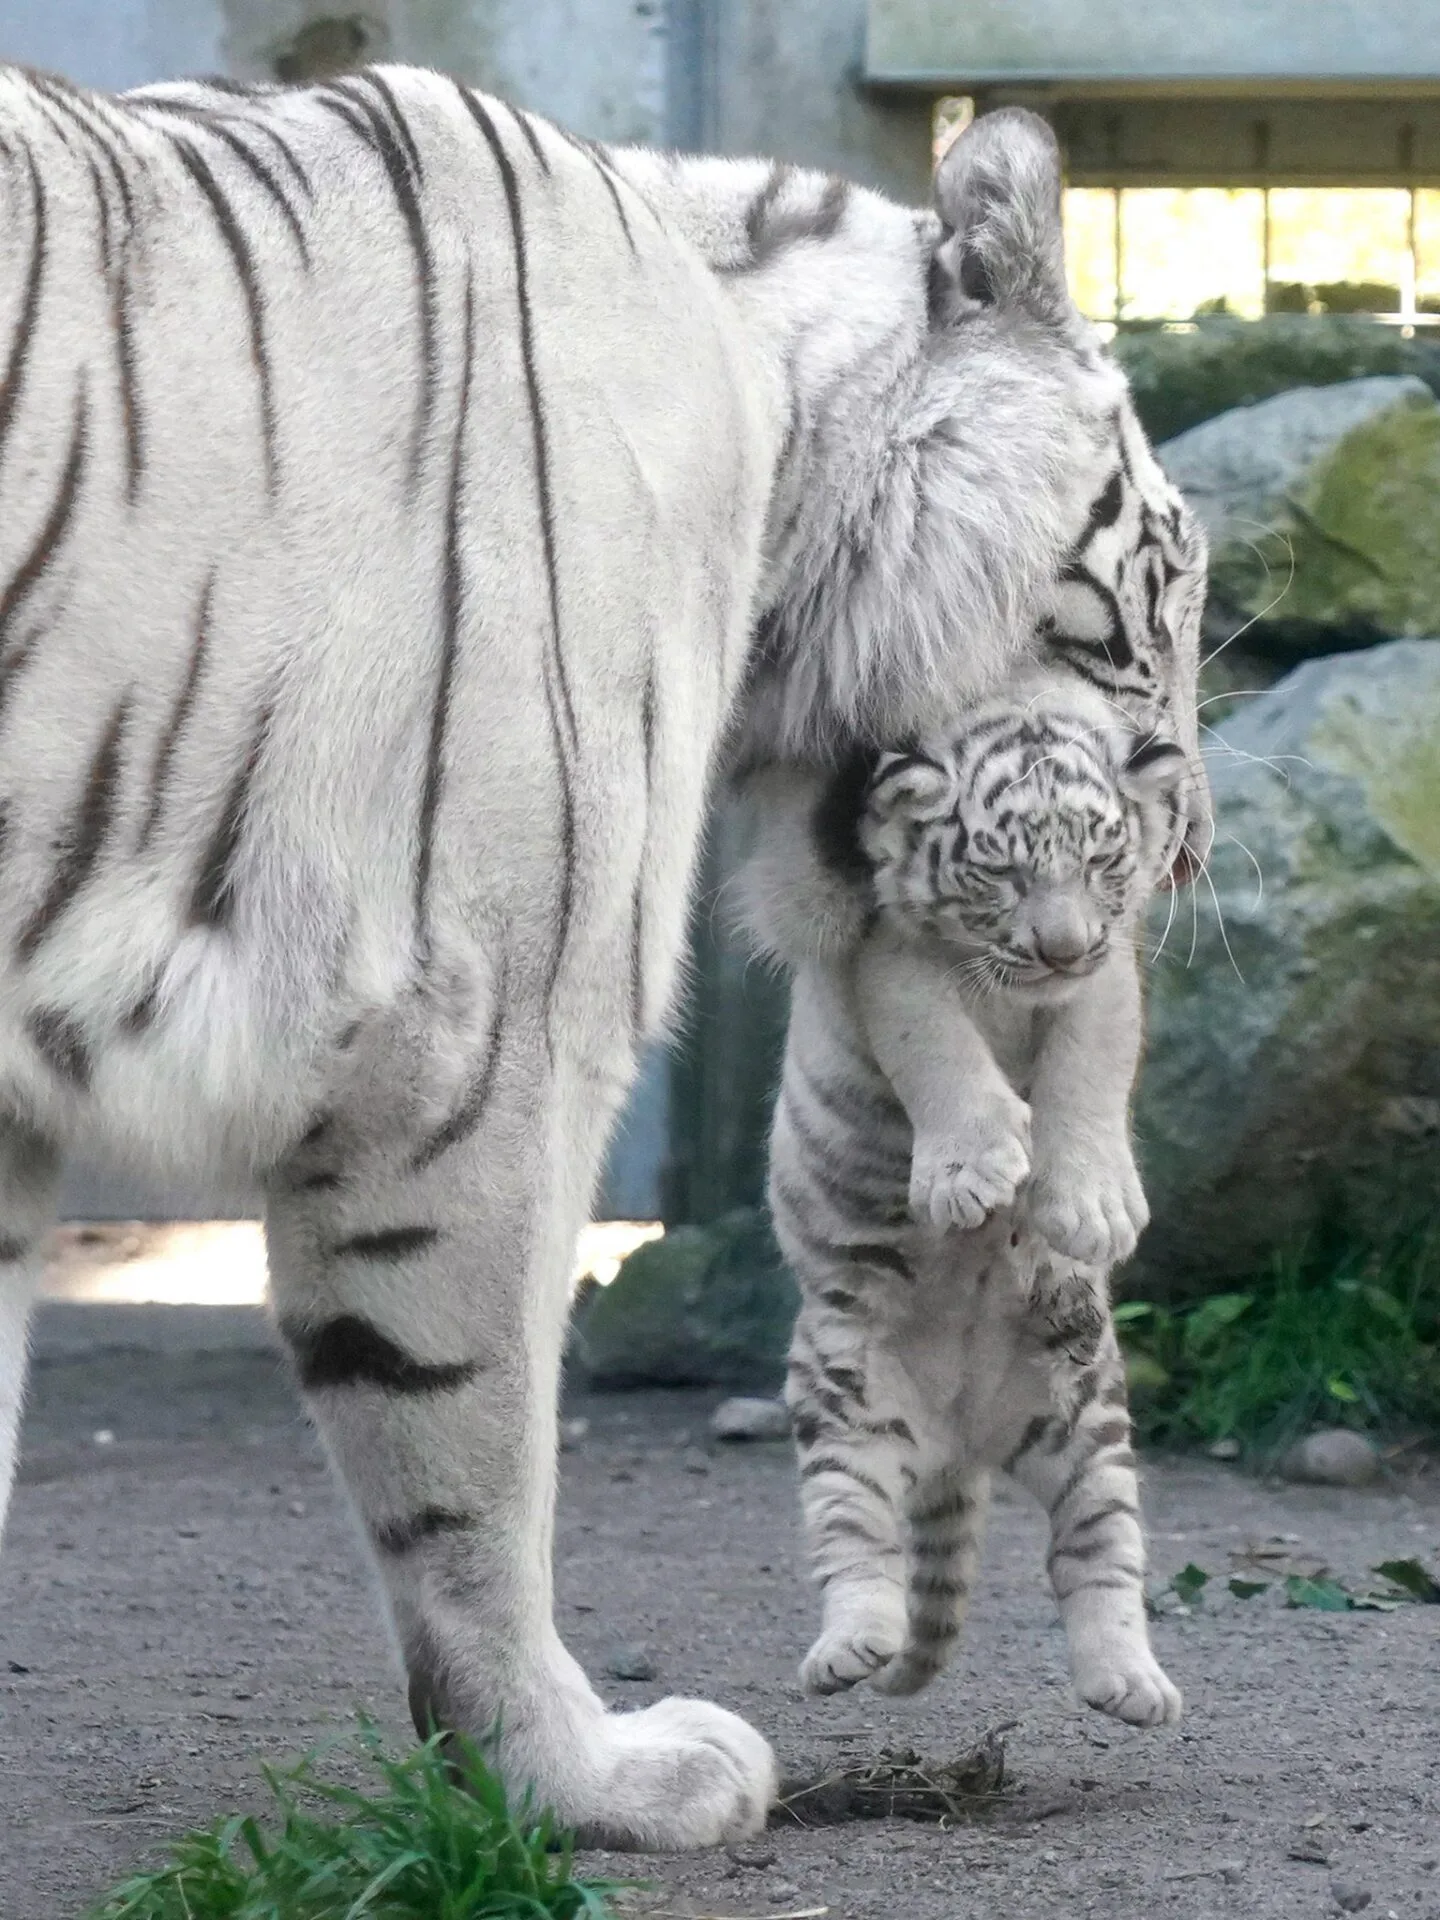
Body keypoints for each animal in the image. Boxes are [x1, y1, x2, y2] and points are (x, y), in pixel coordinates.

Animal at [760, 683, 1190, 1720]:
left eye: (1101, 862)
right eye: (999, 872)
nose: (1058, 947)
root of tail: (957, 1441)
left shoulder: (1108, 970)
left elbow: (1089, 1062)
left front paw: (1087, 1207)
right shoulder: (883, 948)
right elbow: (934, 1040)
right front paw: (972, 1174)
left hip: (1083, 1424)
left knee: (1097, 1551)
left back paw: (1129, 1680)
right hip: (846, 1406)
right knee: (858, 1543)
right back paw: (852, 1649)